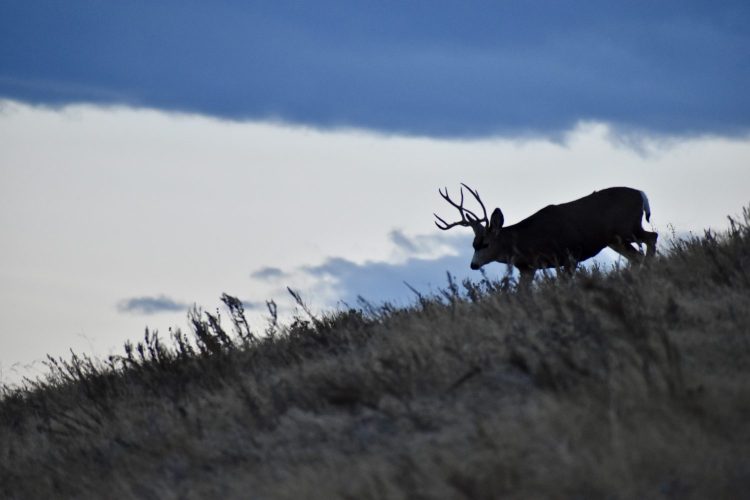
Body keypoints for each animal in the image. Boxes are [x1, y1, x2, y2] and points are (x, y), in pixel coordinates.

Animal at [434, 184, 658, 287]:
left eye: (486, 244)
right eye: (473, 243)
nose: (473, 265)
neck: (528, 241)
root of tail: (642, 194)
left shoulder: (569, 254)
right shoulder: (528, 268)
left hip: (628, 228)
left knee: (652, 237)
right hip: (615, 239)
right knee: (637, 254)